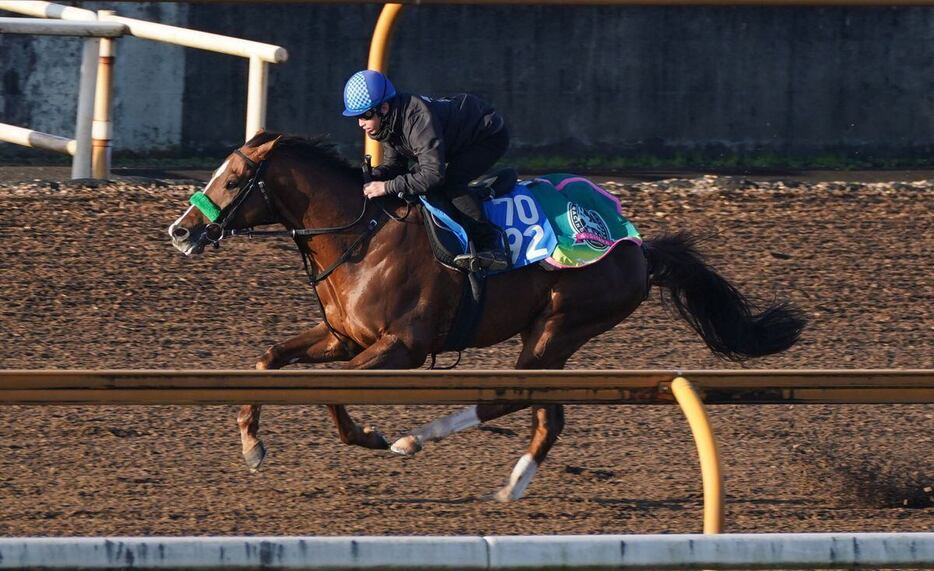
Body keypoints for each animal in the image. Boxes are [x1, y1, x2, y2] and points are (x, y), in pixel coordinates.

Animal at [166, 130, 804, 500]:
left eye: (232, 179)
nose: (181, 232)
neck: (361, 236)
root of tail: (637, 247)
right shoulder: (343, 336)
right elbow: (268, 358)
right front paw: (251, 445)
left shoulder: (403, 348)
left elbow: (334, 393)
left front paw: (371, 437)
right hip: (551, 340)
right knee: (545, 413)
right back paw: (509, 483)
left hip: (557, 329)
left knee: (514, 402)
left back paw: (420, 441)